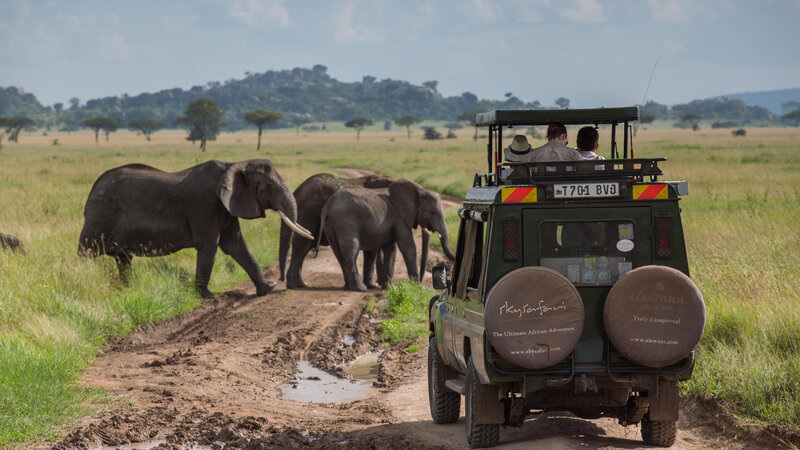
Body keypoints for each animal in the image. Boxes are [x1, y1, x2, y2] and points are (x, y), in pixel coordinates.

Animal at [76, 159, 310, 298]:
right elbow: (211, 246)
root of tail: (92, 190)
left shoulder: (227, 206)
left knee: (123, 258)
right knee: (87, 254)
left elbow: (236, 245)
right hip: (99, 218)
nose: (281, 280)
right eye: (268, 186)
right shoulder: (205, 204)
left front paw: (267, 288)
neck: (234, 165)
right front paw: (207, 296)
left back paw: (128, 290)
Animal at [318, 179, 456, 292]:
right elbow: (407, 246)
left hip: (330, 226)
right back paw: (360, 288)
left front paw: (389, 287)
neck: (419, 189)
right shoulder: (400, 218)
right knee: (351, 252)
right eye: (432, 213)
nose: (421, 281)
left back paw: (349, 287)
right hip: (346, 223)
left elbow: (391, 249)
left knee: (339, 255)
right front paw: (415, 286)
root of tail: (327, 207)